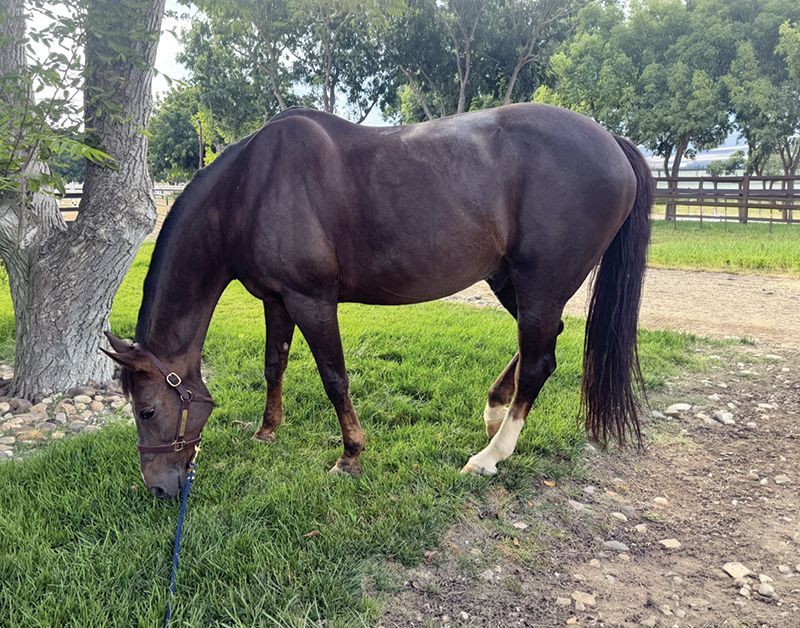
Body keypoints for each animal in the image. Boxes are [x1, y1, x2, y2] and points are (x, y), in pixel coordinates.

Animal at [103, 103, 652, 499]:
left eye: (146, 411)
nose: (159, 489)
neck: (250, 189)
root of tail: (612, 142)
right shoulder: (276, 300)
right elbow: (274, 364)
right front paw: (266, 431)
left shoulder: (312, 300)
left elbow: (334, 377)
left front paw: (350, 455)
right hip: (512, 281)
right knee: (542, 343)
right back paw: (494, 410)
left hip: (540, 284)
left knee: (541, 360)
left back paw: (490, 457)